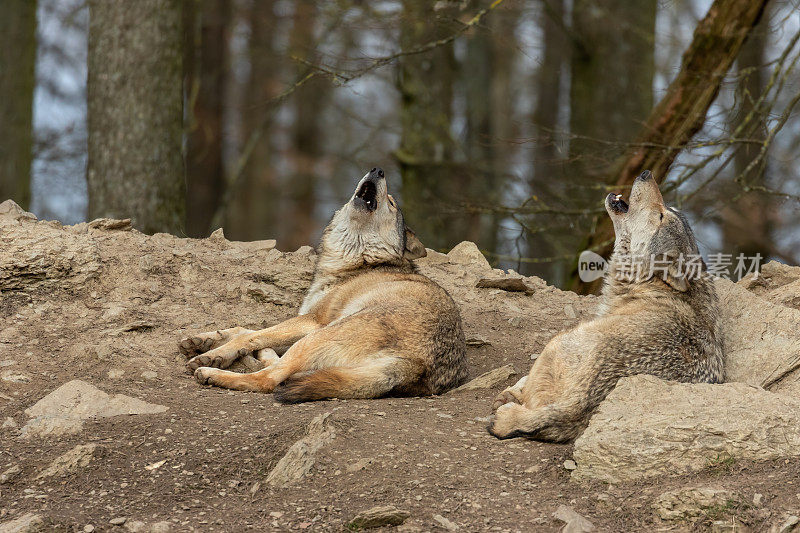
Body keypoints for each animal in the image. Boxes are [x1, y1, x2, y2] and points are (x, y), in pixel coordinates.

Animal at [180, 168, 468, 402]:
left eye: (392, 202)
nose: (378, 170)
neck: (359, 260)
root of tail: (417, 365)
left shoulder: (313, 320)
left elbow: (249, 334)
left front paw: (213, 354)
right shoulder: (307, 319)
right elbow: (246, 329)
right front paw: (203, 340)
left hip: (320, 334)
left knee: (269, 379)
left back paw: (212, 372)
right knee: (281, 369)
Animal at [488, 170, 724, 440]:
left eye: (661, 215)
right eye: (667, 209)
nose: (646, 173)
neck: (645, 286)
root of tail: (576, 407)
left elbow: (523, 381)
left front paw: (511, 392)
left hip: (559, 340)